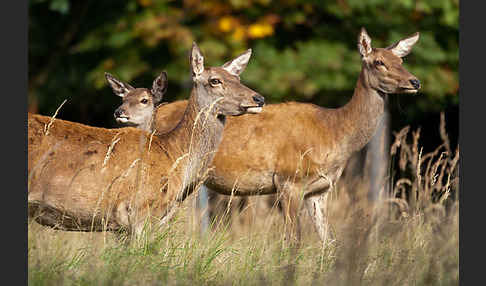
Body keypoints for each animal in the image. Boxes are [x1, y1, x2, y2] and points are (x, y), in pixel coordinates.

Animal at [108, 27, 420, 246]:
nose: (415, 81)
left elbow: (329, 242)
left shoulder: (320, 190)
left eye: (402, 59)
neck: (334, 132)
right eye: (378, 62)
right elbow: (292, 242)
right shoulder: (288, 179)